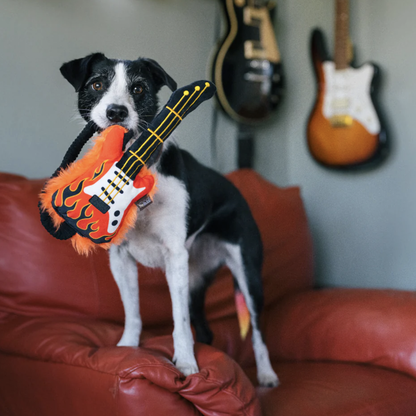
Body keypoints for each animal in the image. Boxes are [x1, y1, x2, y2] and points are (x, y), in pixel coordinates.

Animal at [59, 52, 280, 386]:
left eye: (138, 88)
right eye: (97, 84)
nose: (116, 112)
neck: (132, 173)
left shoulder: (175, 258)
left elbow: (179, 320)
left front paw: (187, 364)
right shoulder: (120, 259)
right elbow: (133, 312)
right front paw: (126, 350)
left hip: (247, 275)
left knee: (257, 331)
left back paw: (266, 374)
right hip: (196, 280)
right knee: (205, 328)